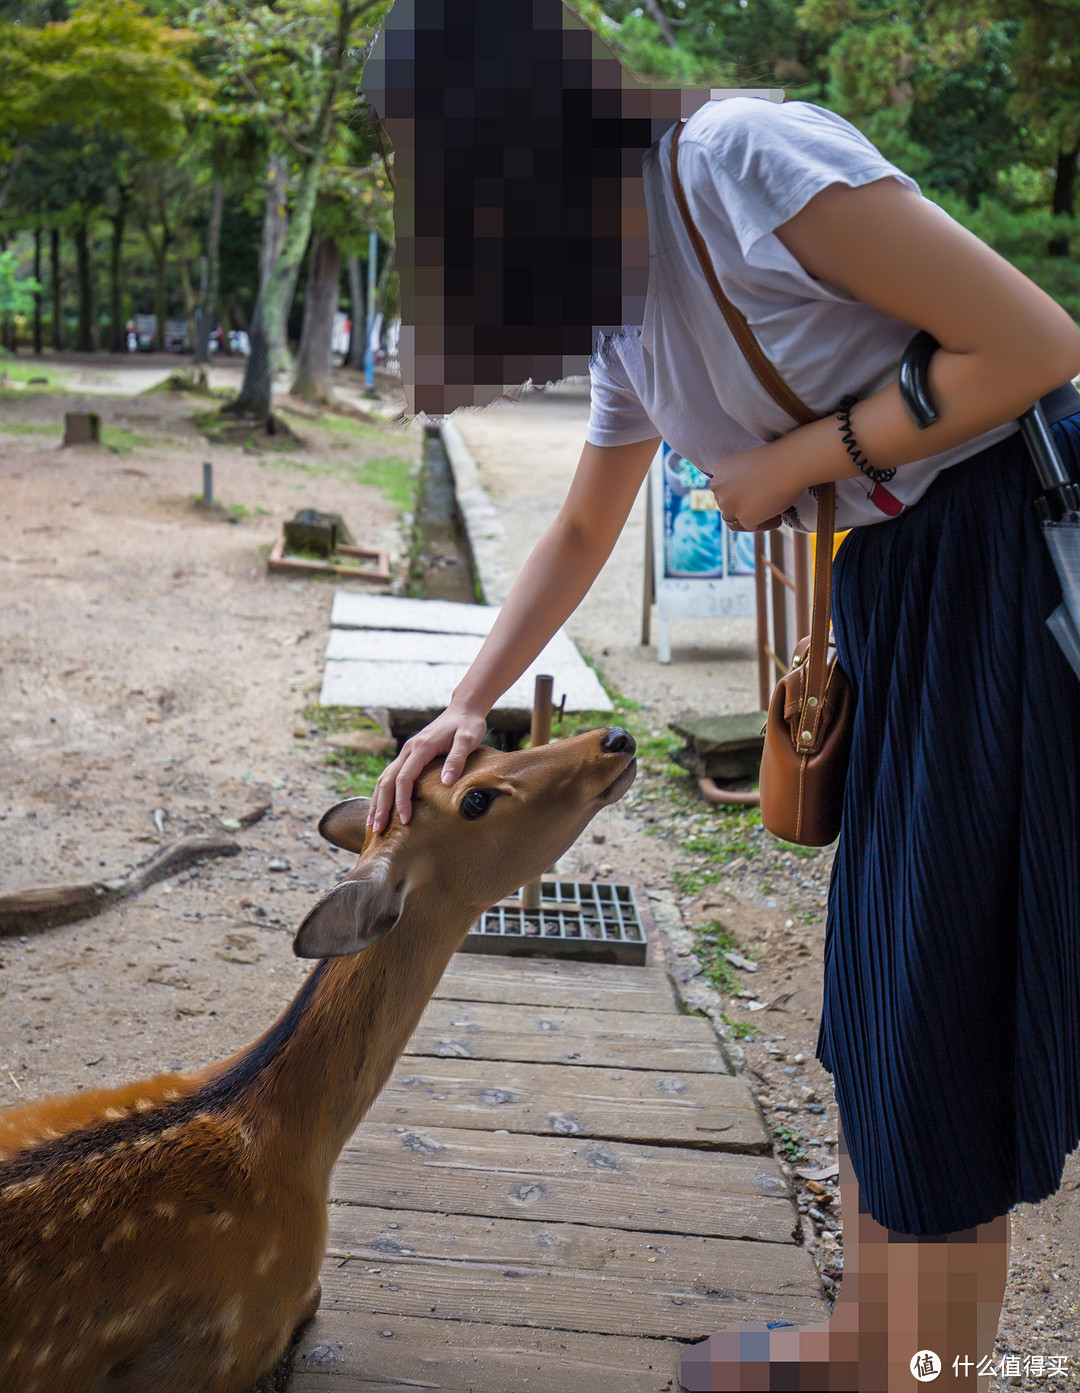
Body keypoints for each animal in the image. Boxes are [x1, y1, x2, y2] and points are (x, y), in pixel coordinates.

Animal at [0, 729, 638, 1393]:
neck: (288, 1143)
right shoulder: (222, 1347)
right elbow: (313, 1299)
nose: (614, 739)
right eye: (476, 799)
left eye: (483, 743)